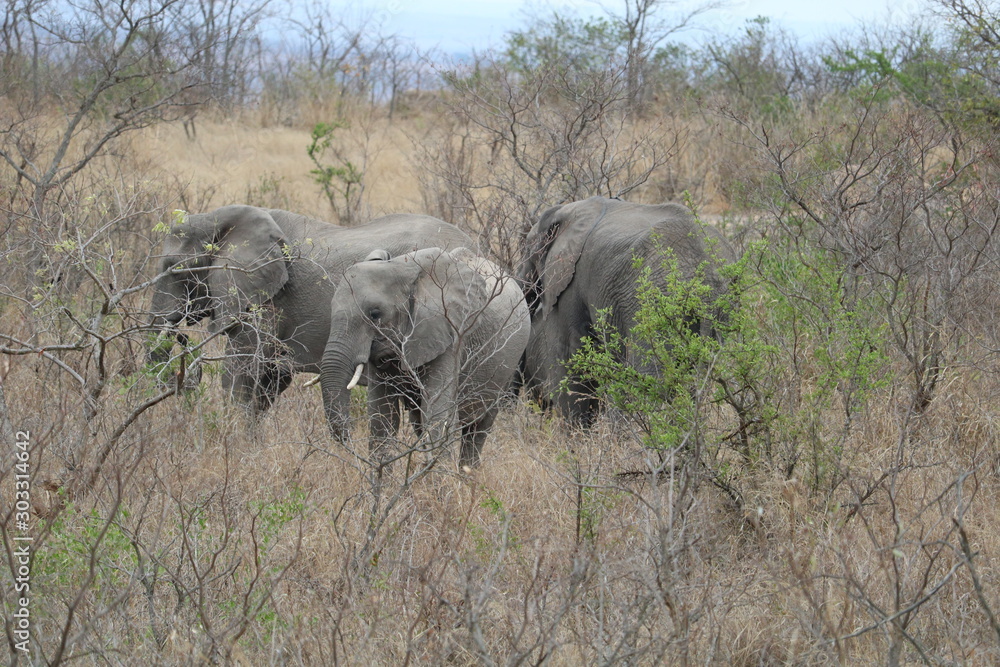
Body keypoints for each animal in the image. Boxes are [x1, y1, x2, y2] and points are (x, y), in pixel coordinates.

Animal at [148, 205, 472, 413]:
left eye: (174, 270)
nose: (182, 337)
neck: (220, 217)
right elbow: (269, 380)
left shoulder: (266, 299)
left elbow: (242, 373)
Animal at [320, 246, 530, 469]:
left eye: (375, 314)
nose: (348, 441)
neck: (402, 268)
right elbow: (382, 418)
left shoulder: (452, 334)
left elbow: (438, 415)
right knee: (419, 421)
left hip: (509, 364)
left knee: (479, 427)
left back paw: (467, 473)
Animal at [518, 196, 736, 426]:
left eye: (527, 250)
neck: (571, 210)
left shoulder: (571, 281)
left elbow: (571, 351)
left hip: (652, 302)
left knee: (648, 378)